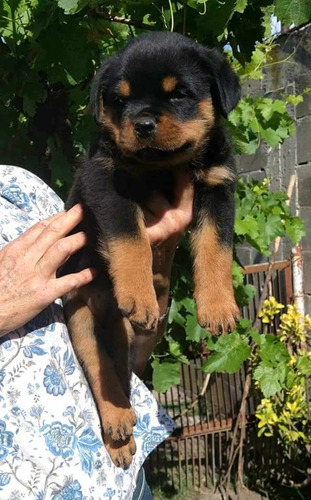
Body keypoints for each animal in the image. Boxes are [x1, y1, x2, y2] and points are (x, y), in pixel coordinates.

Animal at [62, 32, 241, 468]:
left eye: (179, 94)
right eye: (120, 99)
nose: (142, 124)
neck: (161, 168)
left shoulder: (218, 187)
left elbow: (216, 248)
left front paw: (218, 307)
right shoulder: (106, 183)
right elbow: (131, 240)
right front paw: (139, 294)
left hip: (121, 335)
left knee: (117, 370)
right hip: (79, 316)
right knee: (100, 373)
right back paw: (119, 423)